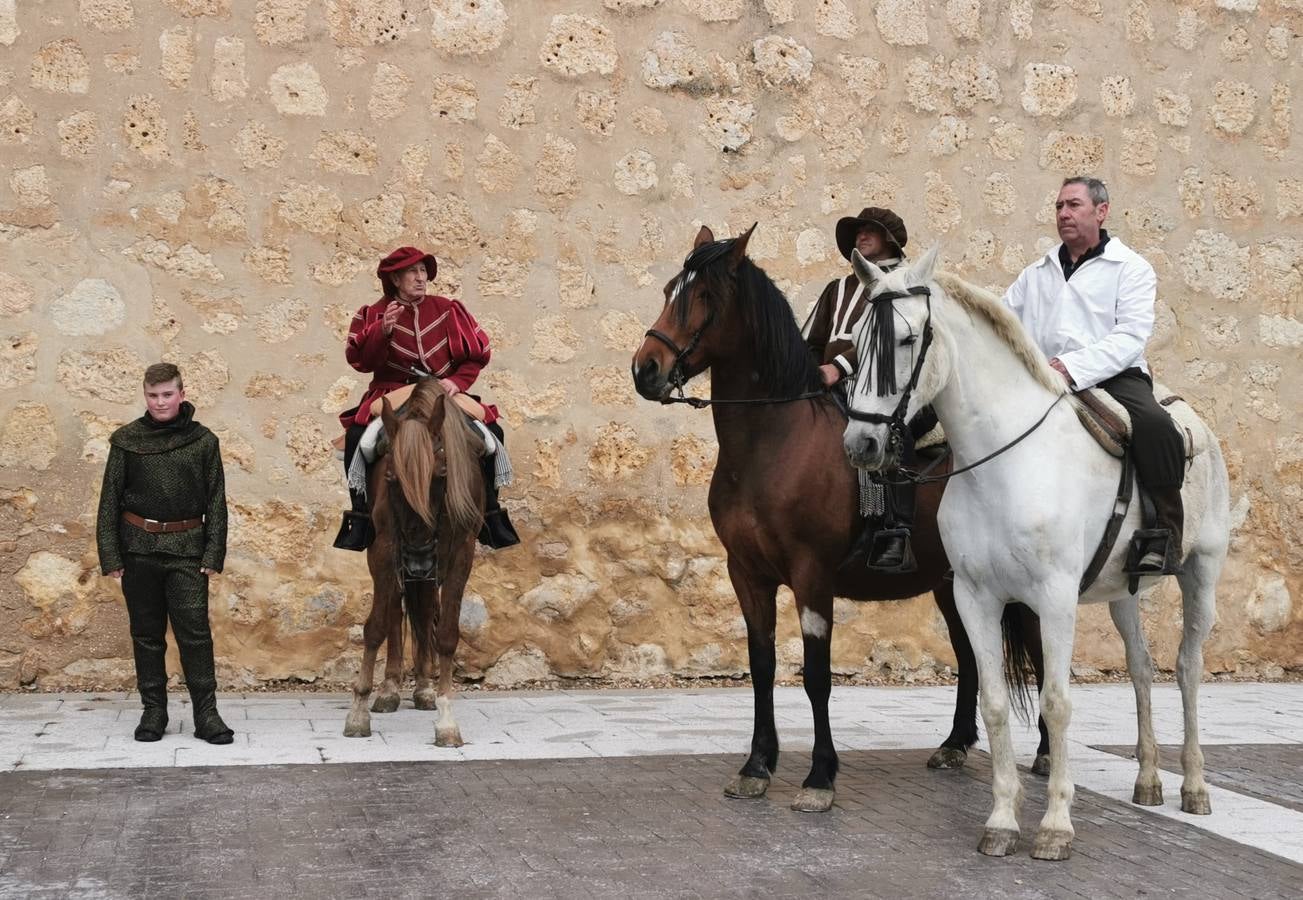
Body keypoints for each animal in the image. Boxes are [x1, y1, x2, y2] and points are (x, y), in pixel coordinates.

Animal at [343, 377, 487, 745]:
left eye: (442, 474)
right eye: (391, 478)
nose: (418, 560)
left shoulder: (461, 551)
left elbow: (445, 632)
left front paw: (446, 717)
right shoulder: (384, 547)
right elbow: (376, 626)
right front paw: (359, 710)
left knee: (424, 612)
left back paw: (424, 688)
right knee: (398, 610)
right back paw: (390, 689)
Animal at [630, 225, 1047, 817]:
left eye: (705, 297)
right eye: (670, 289)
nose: (646, 370)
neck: (771, 443)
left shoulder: (812, 575)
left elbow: (817, 676)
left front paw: (819, 777)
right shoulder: (747, 574)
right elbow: (762, 666)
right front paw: (756, 766)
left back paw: (1046, 754)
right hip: (952, 583)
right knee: (970, 654)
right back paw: (954, 743)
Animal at [839, 244, 1224, 859]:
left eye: (904, 339)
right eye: (855, 340)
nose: (863, 444)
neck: (1003, 461)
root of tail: (1192, 421)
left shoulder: (1055, 598)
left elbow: (1057, 702)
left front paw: (1055, 825)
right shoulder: (974, 596)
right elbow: (994, 702)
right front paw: (1001, 820)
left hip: (1201, 575)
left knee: (1187, 669)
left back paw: (1193, 785)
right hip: (1123, 593)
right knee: (1141, 669)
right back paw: (1147, 779)